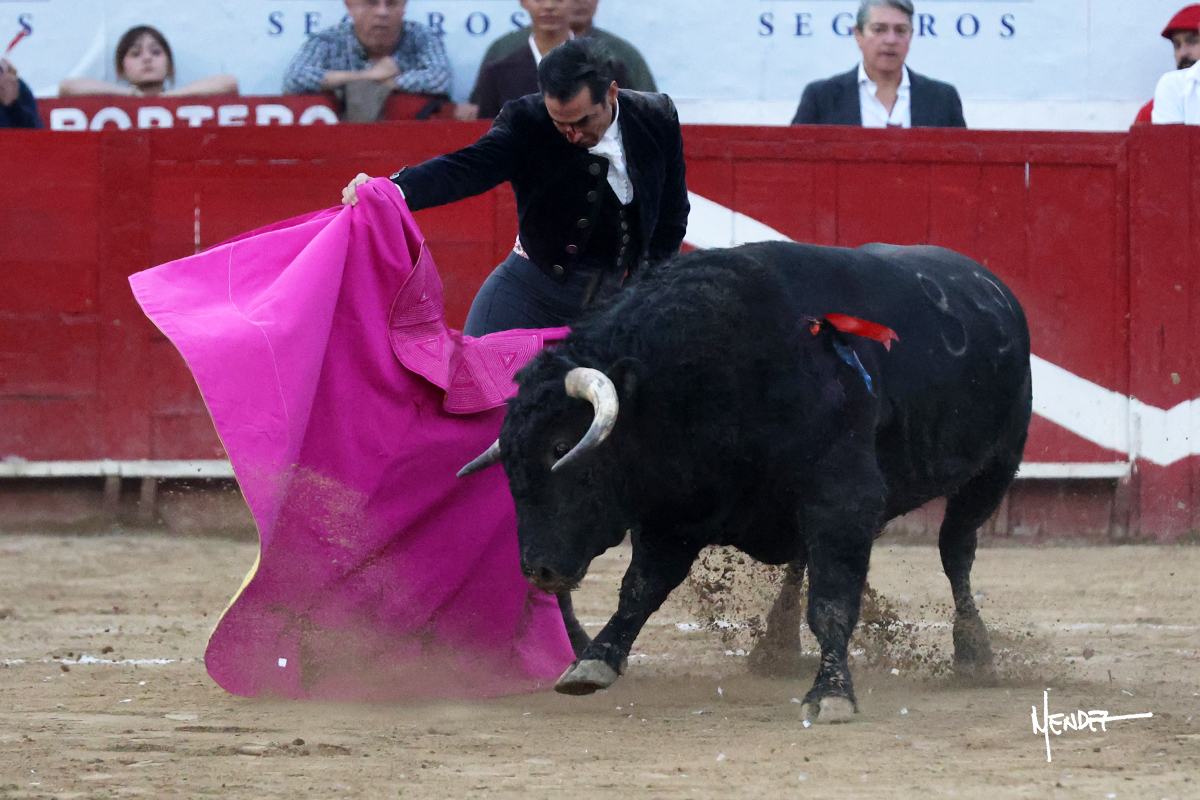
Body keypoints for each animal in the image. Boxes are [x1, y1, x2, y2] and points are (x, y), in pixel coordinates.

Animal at [459, 241, 1032, 723]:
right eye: (509, 461)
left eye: (561, 448)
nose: (538, 569)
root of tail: (992, 285)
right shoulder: (676, 515)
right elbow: (639, 588)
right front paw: (593, 662)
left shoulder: (842, 499)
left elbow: (831, 601)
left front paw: (831, 695)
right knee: (803, 560)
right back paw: (774, 648)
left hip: (994, 470)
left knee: (956, 552)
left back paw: (974, 654)